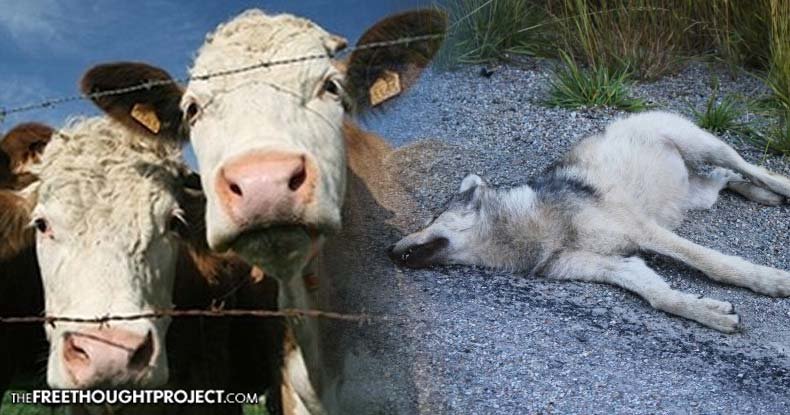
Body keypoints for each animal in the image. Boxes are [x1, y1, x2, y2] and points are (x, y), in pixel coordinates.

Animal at [388, 111, 790, 333]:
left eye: (432, 216)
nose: (389, 250)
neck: (538, 231)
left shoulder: (646, 232)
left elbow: (716, 265)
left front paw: (772, 281)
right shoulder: (621, 264)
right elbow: (662, 297)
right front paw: (710, 313)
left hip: (705, 147)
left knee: (750, 167)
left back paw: (780, 188)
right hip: (696, 195)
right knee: (726, 179)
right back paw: (762, 195)